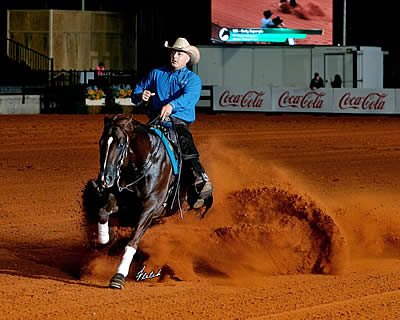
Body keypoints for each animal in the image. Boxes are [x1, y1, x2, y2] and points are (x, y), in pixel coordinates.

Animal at [86, 114, 212, 288]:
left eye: (120, 144)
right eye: (101, 142)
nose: (105, 179)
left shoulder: (150, 207)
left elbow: (133, 240)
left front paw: (119, 276)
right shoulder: (122, 202)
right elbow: (102, 212)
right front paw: (105, 237)